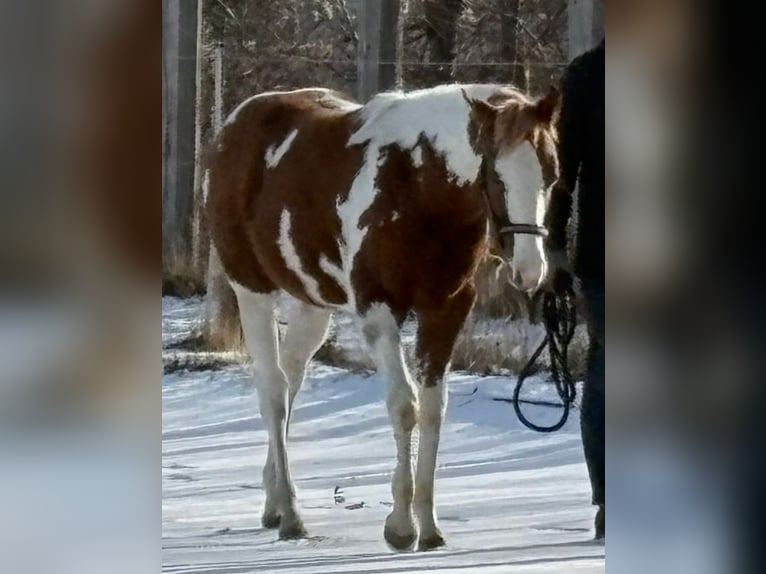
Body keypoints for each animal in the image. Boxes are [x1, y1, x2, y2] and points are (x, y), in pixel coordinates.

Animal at [205, 83, 560, 550]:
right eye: (496, 176)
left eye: (551, 174)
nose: (530, 270)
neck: (416, 186)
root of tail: (235, 124)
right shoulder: (378, 310)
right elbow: (403, 405)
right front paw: (400, 526)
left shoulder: (445, 311)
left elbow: (433, 408)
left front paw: (428, 525)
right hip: (252, 291)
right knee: (274, 392)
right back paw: (292, 515)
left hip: (312, 305)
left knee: (291, 379)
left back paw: (274, 502)